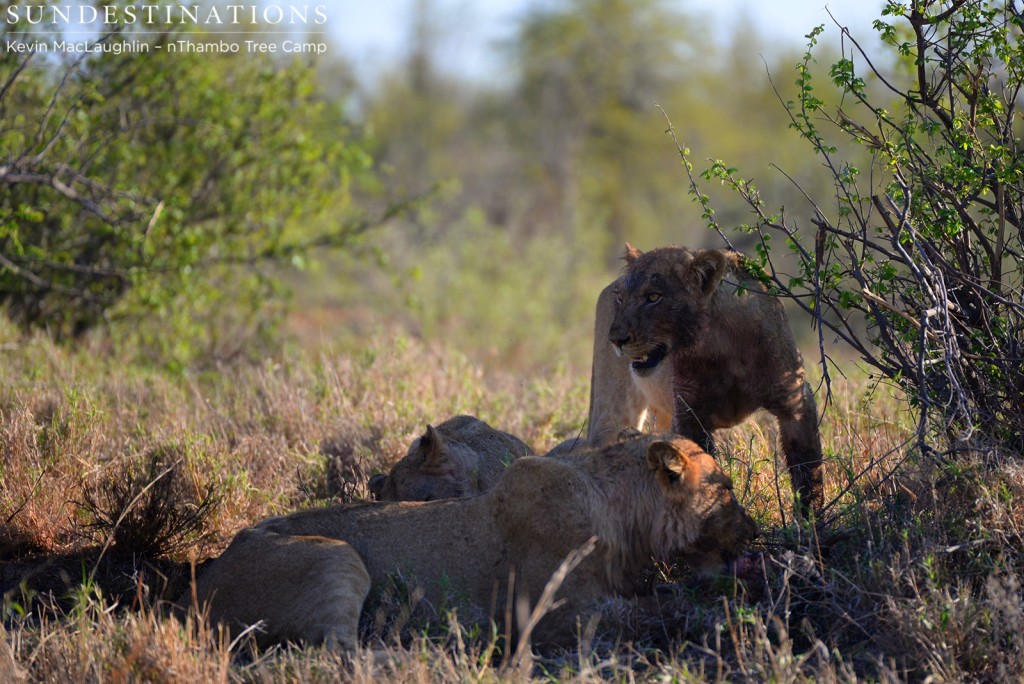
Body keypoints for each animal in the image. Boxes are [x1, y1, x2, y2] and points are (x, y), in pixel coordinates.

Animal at [188, 432, 753, 647]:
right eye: (726, 488)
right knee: (335, 654)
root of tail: (203, 576)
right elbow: (651, 609)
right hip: (337, 558)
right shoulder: (552, 615)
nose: (754, 531)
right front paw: (714, 611)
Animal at [598, 242, 823, 516]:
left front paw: (812, 520)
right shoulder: (689, 414)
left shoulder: (795, 401)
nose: (615, 340)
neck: (720, 345)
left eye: (653, 297)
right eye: (621, 297)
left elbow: (808, 470)